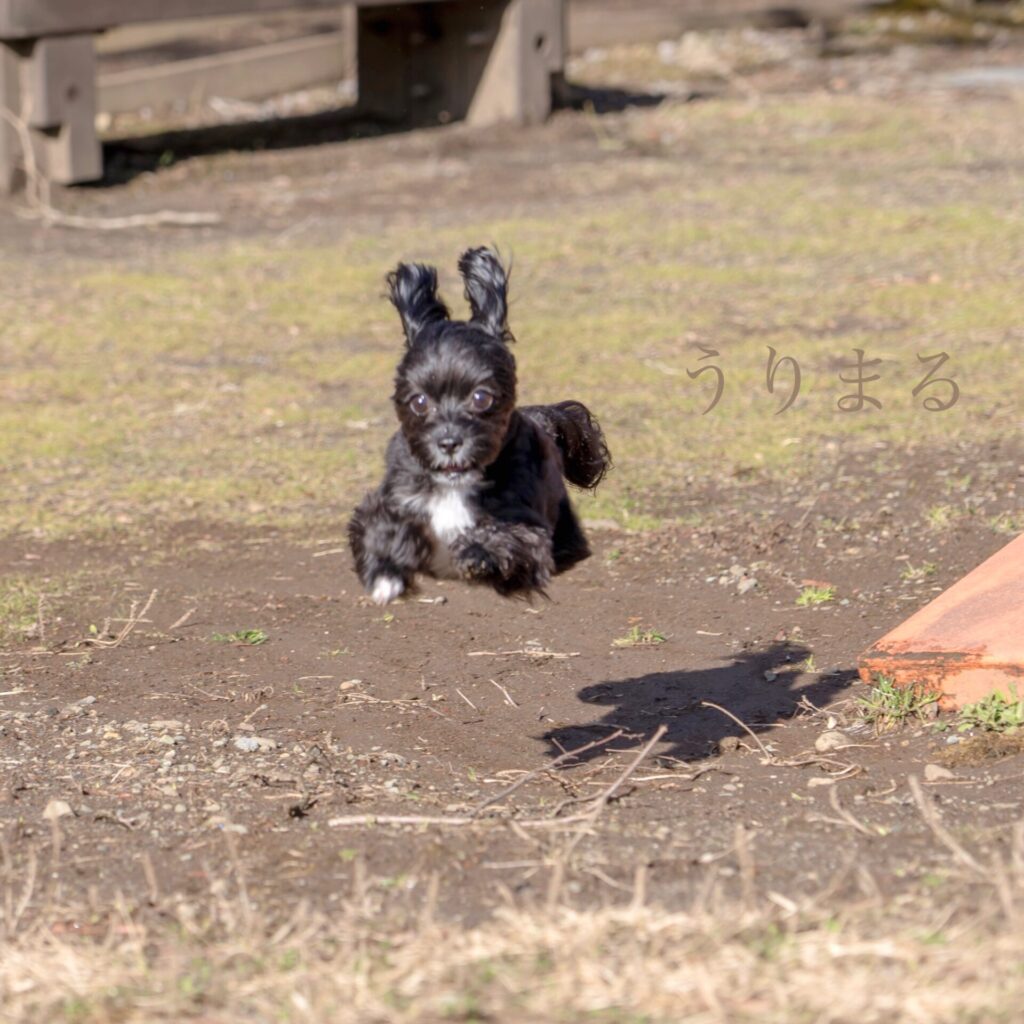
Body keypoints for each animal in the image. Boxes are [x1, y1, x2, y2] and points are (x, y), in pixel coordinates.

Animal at [348, 244, 610, 602]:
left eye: (481, 397)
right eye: (419, 401)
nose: (448, 443)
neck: (456, 484)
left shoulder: (525, 525)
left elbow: (509, 539)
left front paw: (477, 553)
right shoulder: (398, 497)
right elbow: (379, 525)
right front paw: (386, 571)